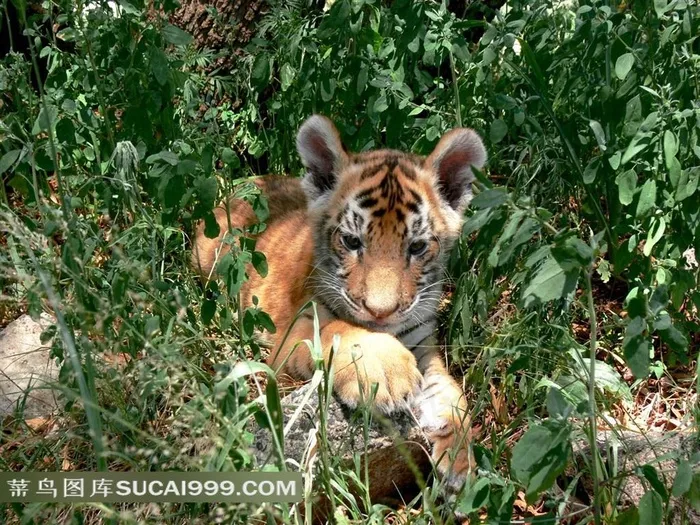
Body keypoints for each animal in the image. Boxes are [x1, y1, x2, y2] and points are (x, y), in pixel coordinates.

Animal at [192, 115, 487, 489]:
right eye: (351, 241)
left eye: (417, 247)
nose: (380, 312)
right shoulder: (290, 335)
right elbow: (337, 329)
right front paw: (381, 368)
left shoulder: (424, 346)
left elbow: (450, 394)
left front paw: (460, 464)